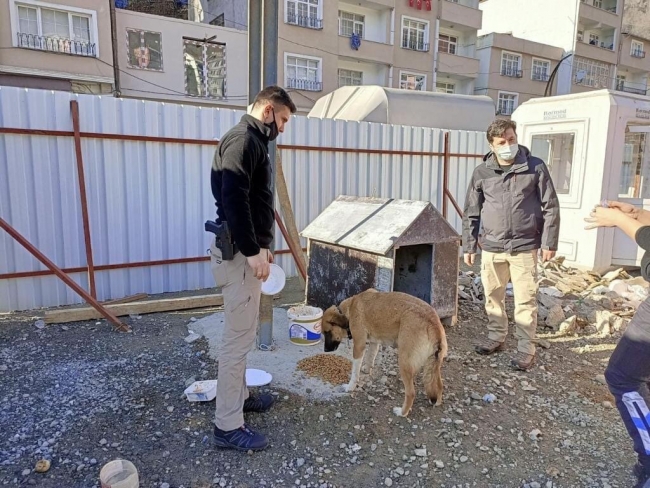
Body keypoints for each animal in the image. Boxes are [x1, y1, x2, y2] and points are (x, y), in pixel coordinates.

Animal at [322, 288, 448, 418]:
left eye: (327, 332)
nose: (325, 350)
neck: (349, 308)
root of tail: (433, 322)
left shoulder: (358, 346)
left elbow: (355, 372)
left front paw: (350, 386)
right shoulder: (374, 342)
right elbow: (370, 356)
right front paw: (366, 369)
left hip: (404, 362)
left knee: (411, 393)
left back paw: (402, 412)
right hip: (434, 364)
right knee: (439, 385)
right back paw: (436, 401)